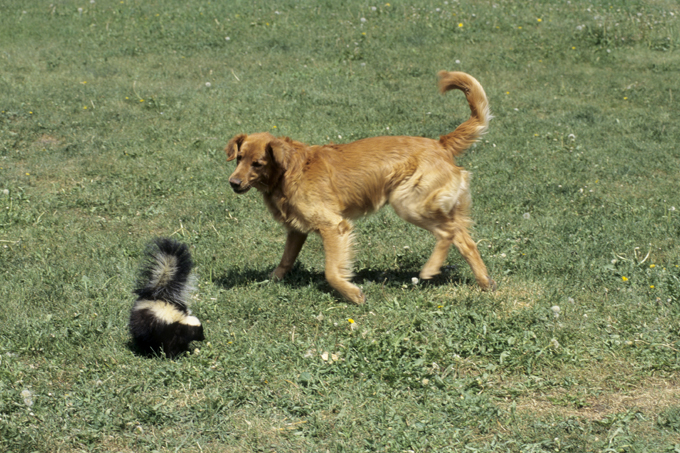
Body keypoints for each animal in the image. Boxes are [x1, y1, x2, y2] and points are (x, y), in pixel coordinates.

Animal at [226, 70, 496, 304]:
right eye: (239, 158)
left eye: (258, 163)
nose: (233, 183)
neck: (287, 172)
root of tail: (440, 144)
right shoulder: (296, 229)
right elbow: (285, 260)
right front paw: (271, 280)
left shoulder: (334, 226)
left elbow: (331, 271)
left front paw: (353, 294)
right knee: (464, 240)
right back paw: (485, 283)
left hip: (408, 203)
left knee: (447, 233)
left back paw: (430, 269)